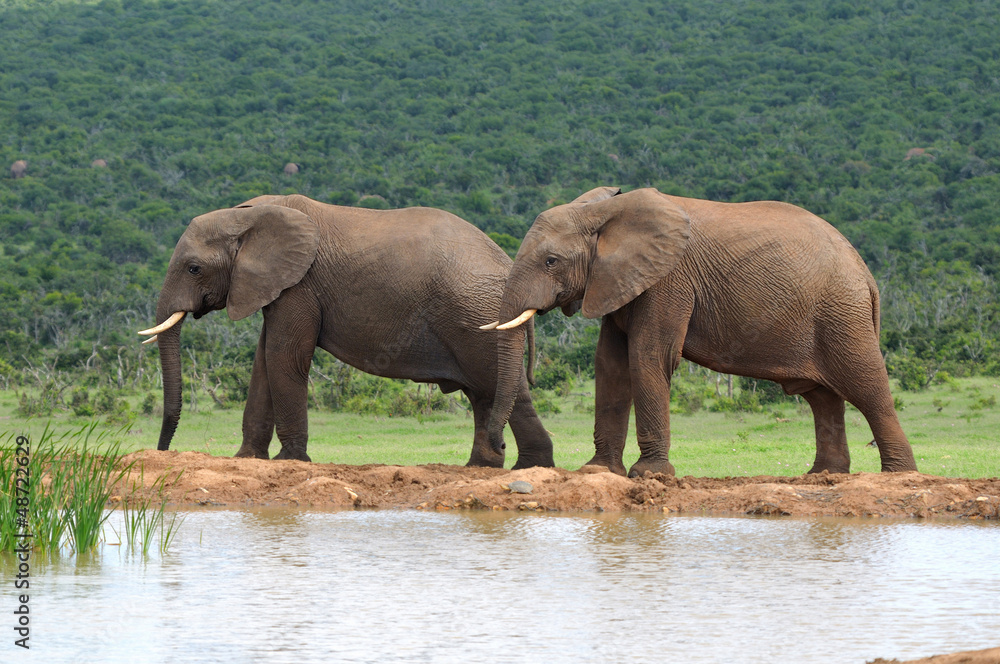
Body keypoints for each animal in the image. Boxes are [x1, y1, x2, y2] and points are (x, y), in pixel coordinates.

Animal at [138, 194, 554, 468]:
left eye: (193, 268)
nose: (162, 451)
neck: (249, 214)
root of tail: (507, 264)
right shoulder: (279, 288)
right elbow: (263, 361)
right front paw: (246, 459)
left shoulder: (300, 285)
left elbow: (284, 357)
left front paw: (289, 461)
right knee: (484, 393)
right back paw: (482, 467)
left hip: (475, 316)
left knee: (501, 386)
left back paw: (530, 468)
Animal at [482, 186, 917, 478]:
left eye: (551, 261)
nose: (499, 445)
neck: (606, 210)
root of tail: (867, 275)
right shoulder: (617, 281)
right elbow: (610, 364)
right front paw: (598, 471)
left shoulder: (669, 280)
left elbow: (648, 357)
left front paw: (649, 475)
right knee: (822, 398)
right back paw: (822, 476)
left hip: (842, 313)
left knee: (867, 386)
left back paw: (899, 475)